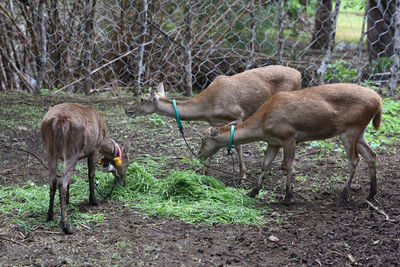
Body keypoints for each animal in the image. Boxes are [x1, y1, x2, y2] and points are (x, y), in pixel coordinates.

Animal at [40, 102, 129, 234]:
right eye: (127, 163)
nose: (124, 182)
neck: (103, 140)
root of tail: (57, 121)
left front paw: (68, 200)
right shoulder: (94, 150)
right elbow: (91, 174)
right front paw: (94, 200)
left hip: (49, 149)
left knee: (53, 181)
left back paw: (49, 215)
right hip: (73, 149)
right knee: (62, 183)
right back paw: (66, 226)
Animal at [125, 65, 300, 182]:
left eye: (142, 99)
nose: (128, 110)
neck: (209, 107)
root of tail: (299, 74)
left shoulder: (238, 114)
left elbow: (237, 145)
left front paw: (242, 175)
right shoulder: (214, 121)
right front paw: (203, 172)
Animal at [198, 82, 382, 204]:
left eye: (203, 139)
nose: (199, 155)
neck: (263, 125)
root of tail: (379, 100)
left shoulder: (289, 137)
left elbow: (289, 166)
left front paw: (287, 197)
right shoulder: (274, 142)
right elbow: (265, 165)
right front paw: (253, 191)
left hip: (350, 129)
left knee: (354, 160)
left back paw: (343, 196)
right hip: (360, 131)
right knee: (371, 154)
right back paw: (371, 193)